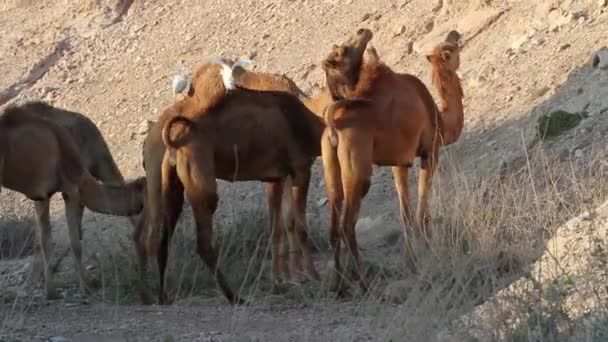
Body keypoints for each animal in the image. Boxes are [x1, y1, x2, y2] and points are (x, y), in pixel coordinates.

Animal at [0, 105, 145, 300]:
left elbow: (46, 241)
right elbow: (75, 240)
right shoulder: (72, 187)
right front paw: (86, 289)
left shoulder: (42, 195)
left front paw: (51, 293)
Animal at [137, 60, 326, 304]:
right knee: (200, 243)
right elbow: (301, 226)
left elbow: (281, 225)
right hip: (201, 184)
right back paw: (234, 296)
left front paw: (285, 278)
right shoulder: (301, 169)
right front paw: (313, 277)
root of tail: (173, 137)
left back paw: (162, 296)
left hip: (171, 185)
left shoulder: (277, 177)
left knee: (161, 239)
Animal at [318, 29, 466, 294]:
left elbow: (404, 213)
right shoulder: (430, 152)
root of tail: (334, 125)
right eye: (451, 48)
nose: (456, 35)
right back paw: (364, 285)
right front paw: (429, 253)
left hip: (329, 165)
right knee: (347, 225)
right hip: (358, 168)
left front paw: (411, 262)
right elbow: (421, 211)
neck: (441, 118)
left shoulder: (400, 162)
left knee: (333, 225)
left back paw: (339, 286)